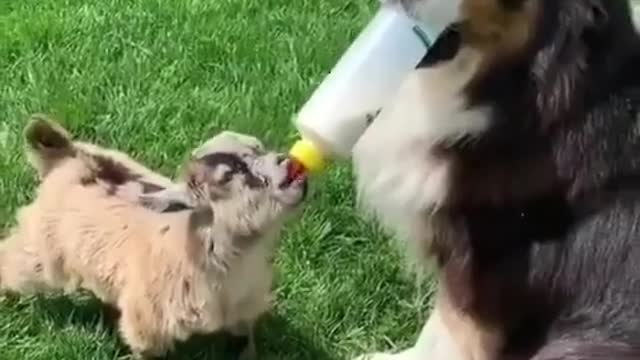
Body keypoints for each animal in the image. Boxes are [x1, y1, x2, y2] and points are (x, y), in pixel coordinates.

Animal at [0, 116, 310, 360]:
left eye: (258, 147)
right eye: (228, 177)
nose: (288, 162)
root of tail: (71, 157)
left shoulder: (245, 306)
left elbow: (244, 340)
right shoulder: (147, 321)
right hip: (42, 246)